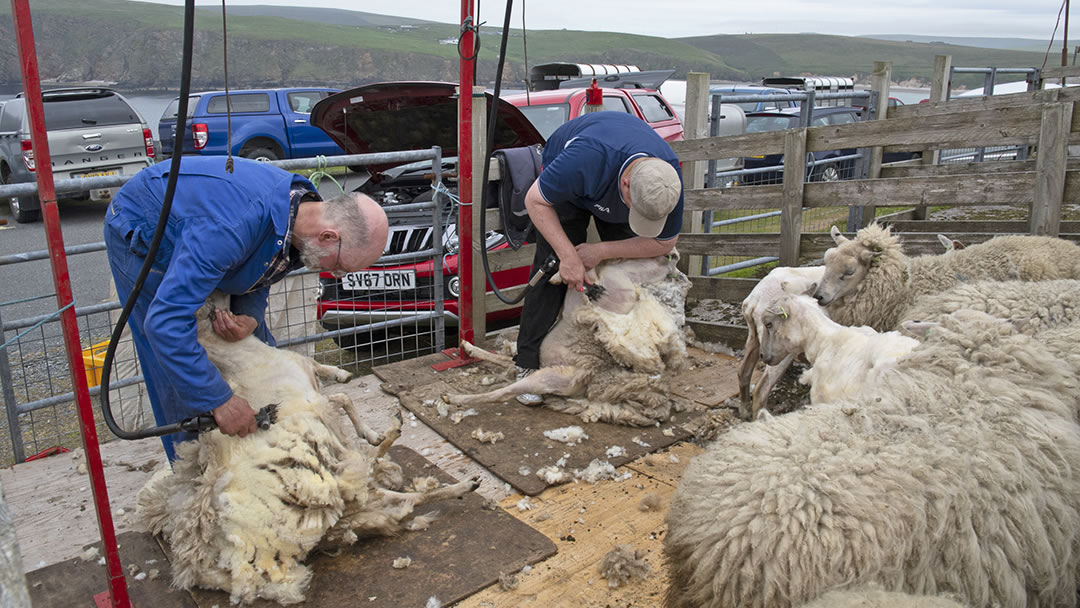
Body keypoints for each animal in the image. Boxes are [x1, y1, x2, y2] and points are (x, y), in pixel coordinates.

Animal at [136, 293, 481, 604]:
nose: (218, 300)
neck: (241, 358)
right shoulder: (314, 401)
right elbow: (344, 399)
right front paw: (366, 424)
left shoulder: (312, 391)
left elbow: (338, 391)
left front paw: (351, 394)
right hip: (339, 494)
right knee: (405, 494)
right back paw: (460, 483)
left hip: (344, 504)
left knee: (377, 478)